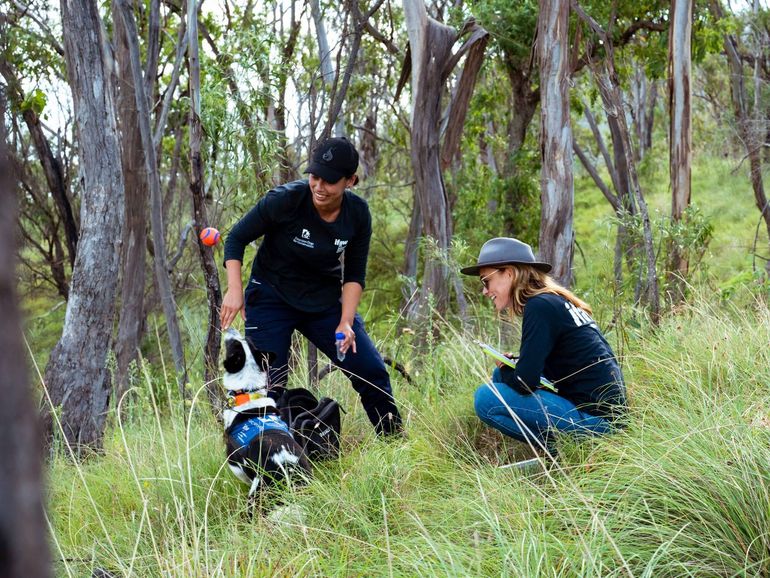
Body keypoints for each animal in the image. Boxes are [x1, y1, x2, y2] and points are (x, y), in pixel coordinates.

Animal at [220, 326, 310, 498]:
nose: (230, 328)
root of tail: (286, 466)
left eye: (233, 344)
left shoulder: (233, 459)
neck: (248, 393)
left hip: (258, 492)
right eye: (247, 340)